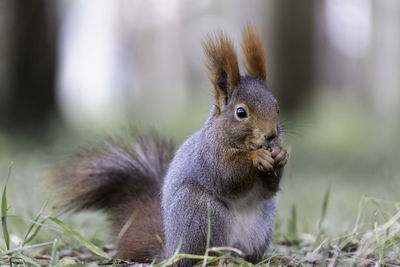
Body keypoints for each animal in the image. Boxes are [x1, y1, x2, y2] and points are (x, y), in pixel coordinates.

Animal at [49, 24, 288, 266]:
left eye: (277, 108)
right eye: (241, 112)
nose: (271, 135)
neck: (234, 141)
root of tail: (173, 249)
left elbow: (269, 188)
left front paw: (281, 155)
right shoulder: (208, 157)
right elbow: (227, 176)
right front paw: (257, 158)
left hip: (262, 222)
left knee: (250, 253)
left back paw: (266, 257)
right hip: (203, 214)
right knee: (200, 257)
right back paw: (218, 260)